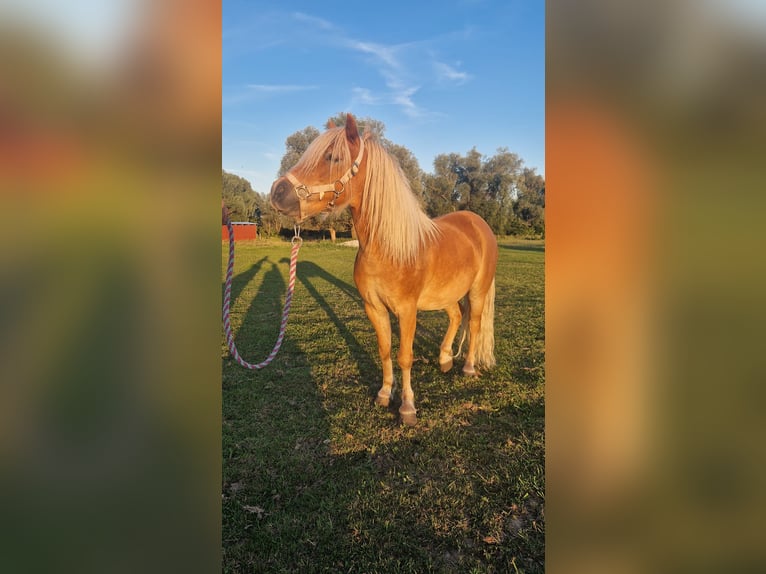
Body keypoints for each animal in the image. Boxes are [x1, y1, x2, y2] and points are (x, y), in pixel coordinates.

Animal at [270, 113, 498, 428]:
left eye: (333, 157)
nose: (277, 192)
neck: (387, 248)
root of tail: (478, 223)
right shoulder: (374, 308)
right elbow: (384, 350)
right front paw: (384, 393)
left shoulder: (407, 310)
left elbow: (404, 356)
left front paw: (407, 407)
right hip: (445, 294)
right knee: (456, 316)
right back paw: (444, 359)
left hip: (477, 291)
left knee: (473, 324)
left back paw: (467, 367)